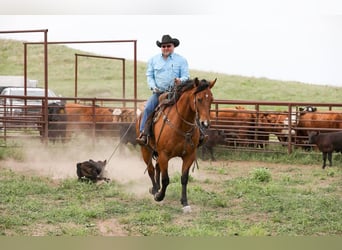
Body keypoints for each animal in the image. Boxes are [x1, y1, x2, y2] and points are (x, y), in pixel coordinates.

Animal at [135, 77, 215, 211]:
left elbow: (184, 178)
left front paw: (185, 202)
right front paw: (159, 197)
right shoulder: (164, 155)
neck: (181, 125)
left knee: (157, 168)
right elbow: (166, 179)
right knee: (151, 169)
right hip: (145, 150)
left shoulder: (189, 156)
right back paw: (155, 190)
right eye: (199, 99)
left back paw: (156, 188)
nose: (205, 123)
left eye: (211, 99)